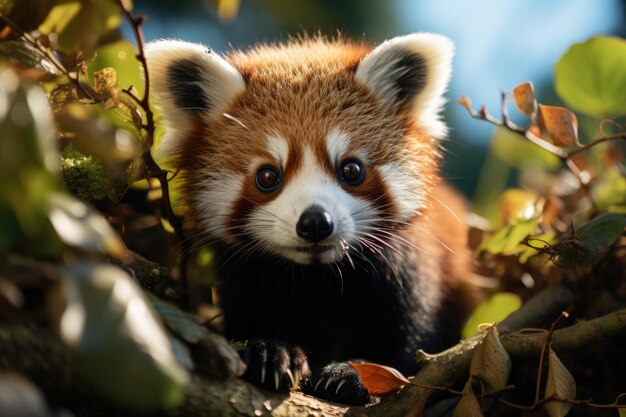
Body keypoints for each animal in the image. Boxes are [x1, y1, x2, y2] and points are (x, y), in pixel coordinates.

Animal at [145, 34, 468, 404]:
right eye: (267, 176)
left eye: (351, 170)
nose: (315, 222)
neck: (317, 279)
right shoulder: (246, 279)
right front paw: (271, 352)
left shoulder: (409, 274)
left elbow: (411, 346)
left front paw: (355, 373)